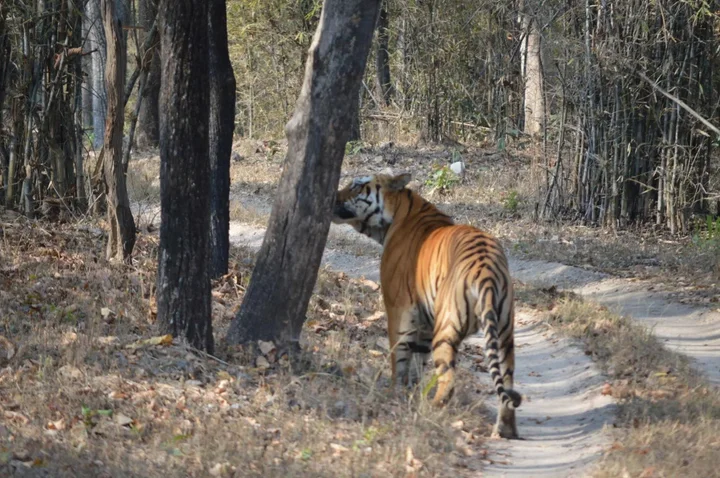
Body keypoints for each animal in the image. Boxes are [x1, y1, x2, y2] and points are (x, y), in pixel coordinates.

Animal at [332, 172, 521, 439]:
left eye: (357, 186)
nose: (333, 196)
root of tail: (486, 269)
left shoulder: (397, 308)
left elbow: (399, 357)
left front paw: (396, 394)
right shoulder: (424, 320)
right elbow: (417, 363)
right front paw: (412, 394)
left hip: (447, 326)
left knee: (448, 377)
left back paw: (433, 410)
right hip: (504, 333)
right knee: (507, 380)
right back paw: (505, 429)